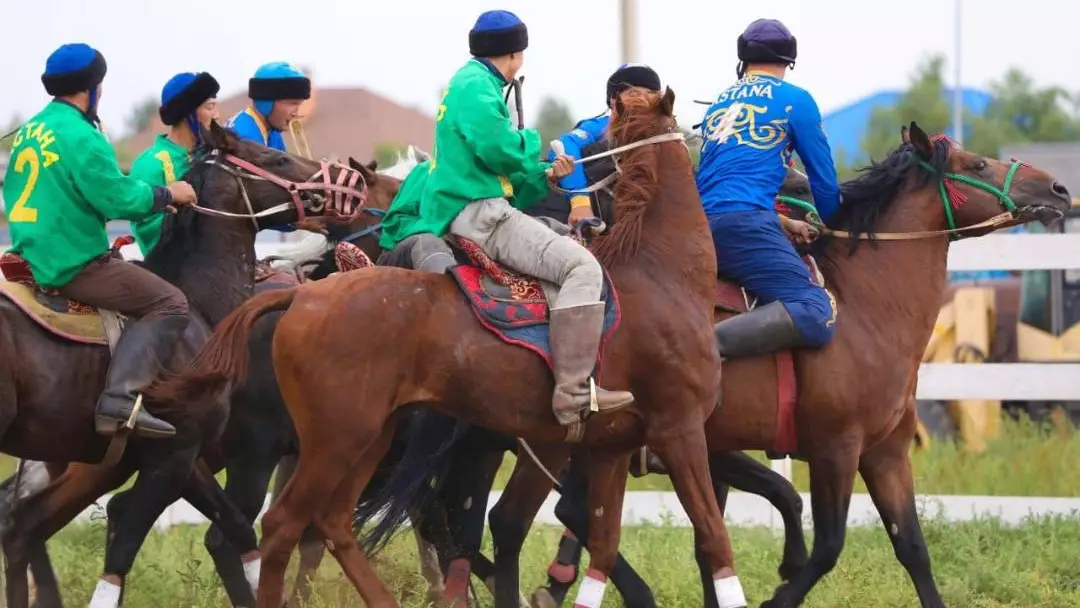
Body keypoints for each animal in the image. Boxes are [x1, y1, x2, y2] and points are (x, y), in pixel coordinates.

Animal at [0, 123, 378, 608]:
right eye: (276, 159)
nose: (349, 183)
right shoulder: (199, 454)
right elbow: (130, 551)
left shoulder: (186, 456)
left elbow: (236, 530)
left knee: (24, 524)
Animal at [143, 88, 747, 608]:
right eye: (270, 153)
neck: (659, 271)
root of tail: (300, 297)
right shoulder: (679, 429)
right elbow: (713, 539)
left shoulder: (610, 446)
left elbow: (601, 546)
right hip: (326, 442)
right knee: (280, 525)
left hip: (369, 438)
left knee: (331, 521)